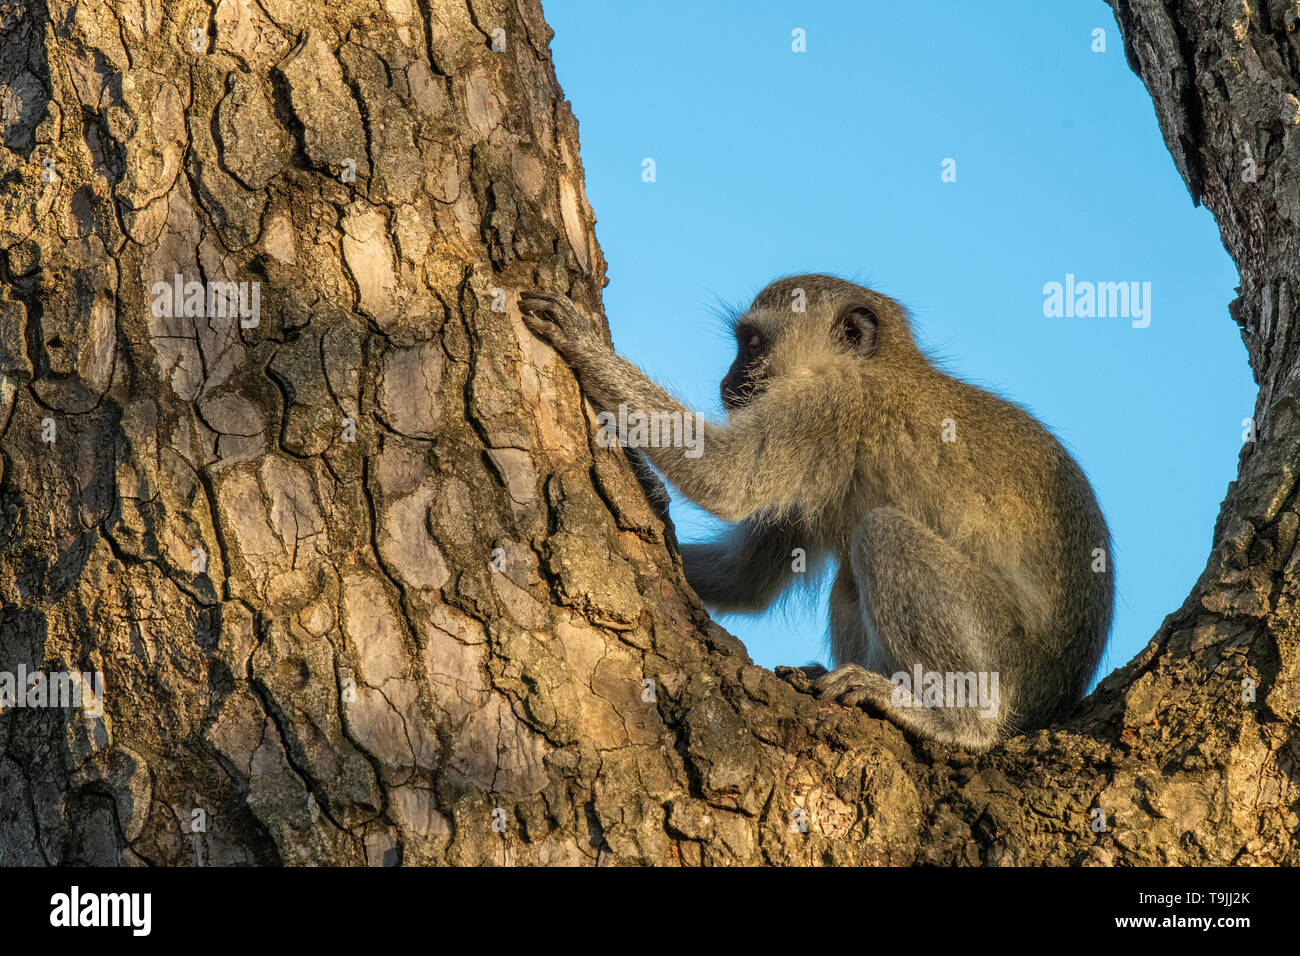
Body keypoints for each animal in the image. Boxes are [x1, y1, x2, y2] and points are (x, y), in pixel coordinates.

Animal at [519, 275, 1113, 751]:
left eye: (752, 343)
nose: (727, 381)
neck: (873, 364)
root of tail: (1053, 697)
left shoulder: (823, 408)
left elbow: (727, 478)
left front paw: (584, 345)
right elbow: (745, 577)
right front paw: (654, 497)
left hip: (1007, 657)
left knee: (881, 536)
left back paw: (959, 723)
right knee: (849, 578)